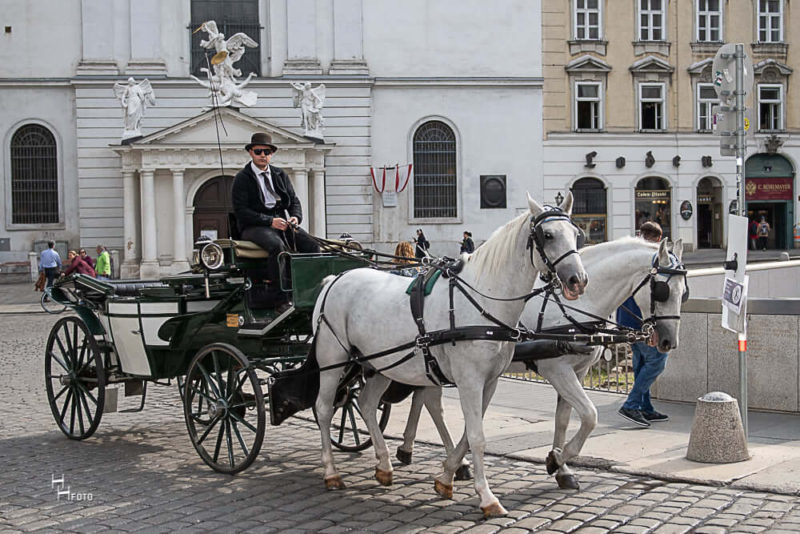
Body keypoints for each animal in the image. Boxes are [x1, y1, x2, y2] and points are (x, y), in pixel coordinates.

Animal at [312, 194, 588, 520]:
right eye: (547, 235)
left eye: (576, 234)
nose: (578, 280)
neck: (482, 300)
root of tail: (335, 278)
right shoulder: (470, 380)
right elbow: (477, 437)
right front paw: (487, 497)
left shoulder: (489, 381)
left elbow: (470, 433)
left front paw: (446, 477)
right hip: (333, 360)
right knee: (324, 408)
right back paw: (331, 473)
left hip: (380, 364)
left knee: (366, 404)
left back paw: (384, 465)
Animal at [394, 237, 688, 492]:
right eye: (661, 291)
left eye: (683, 292)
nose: (668, 341)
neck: (575, 307)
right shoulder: (556, 369)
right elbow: (589, 415)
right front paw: (557, 459)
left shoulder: (578, 371)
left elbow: (563, 420)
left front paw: (562, 468)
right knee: (433, 404)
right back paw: (452, 461)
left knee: (423, 398)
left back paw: (411, 448)